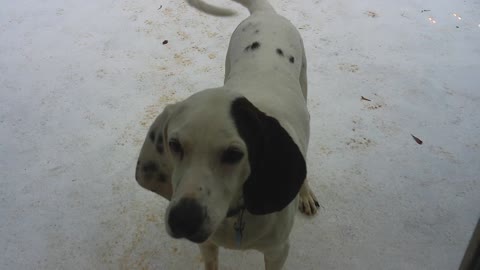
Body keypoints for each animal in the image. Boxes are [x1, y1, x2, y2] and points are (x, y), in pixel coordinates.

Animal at [136, 1, 318, 268]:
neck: (237, 214)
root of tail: (266, 13)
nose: (183, 220)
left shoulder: (278, 251)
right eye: (174, 145)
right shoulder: (208, 245)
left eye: (234, 154)